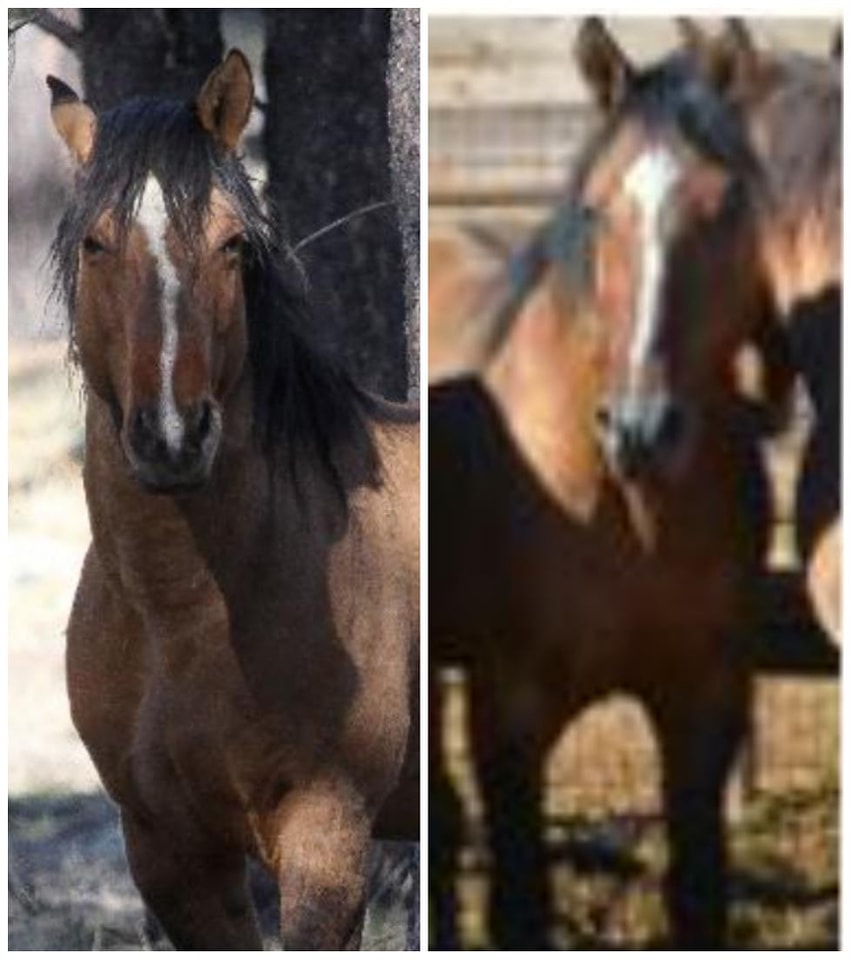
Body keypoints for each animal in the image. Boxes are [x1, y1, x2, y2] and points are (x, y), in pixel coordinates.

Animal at [48, 50, 419, 950]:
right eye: (96, 243)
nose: (173, 436)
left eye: (231, 243)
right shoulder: (169, 852)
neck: (188, 618)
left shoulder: (326, 841)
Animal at [429, 18, 791, 949]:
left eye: (726, 207)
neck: (622, 509)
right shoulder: (510, 715)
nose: (641, 429)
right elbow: (521, 908)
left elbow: (699, 896)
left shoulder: (704, 703)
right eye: (595, 210)